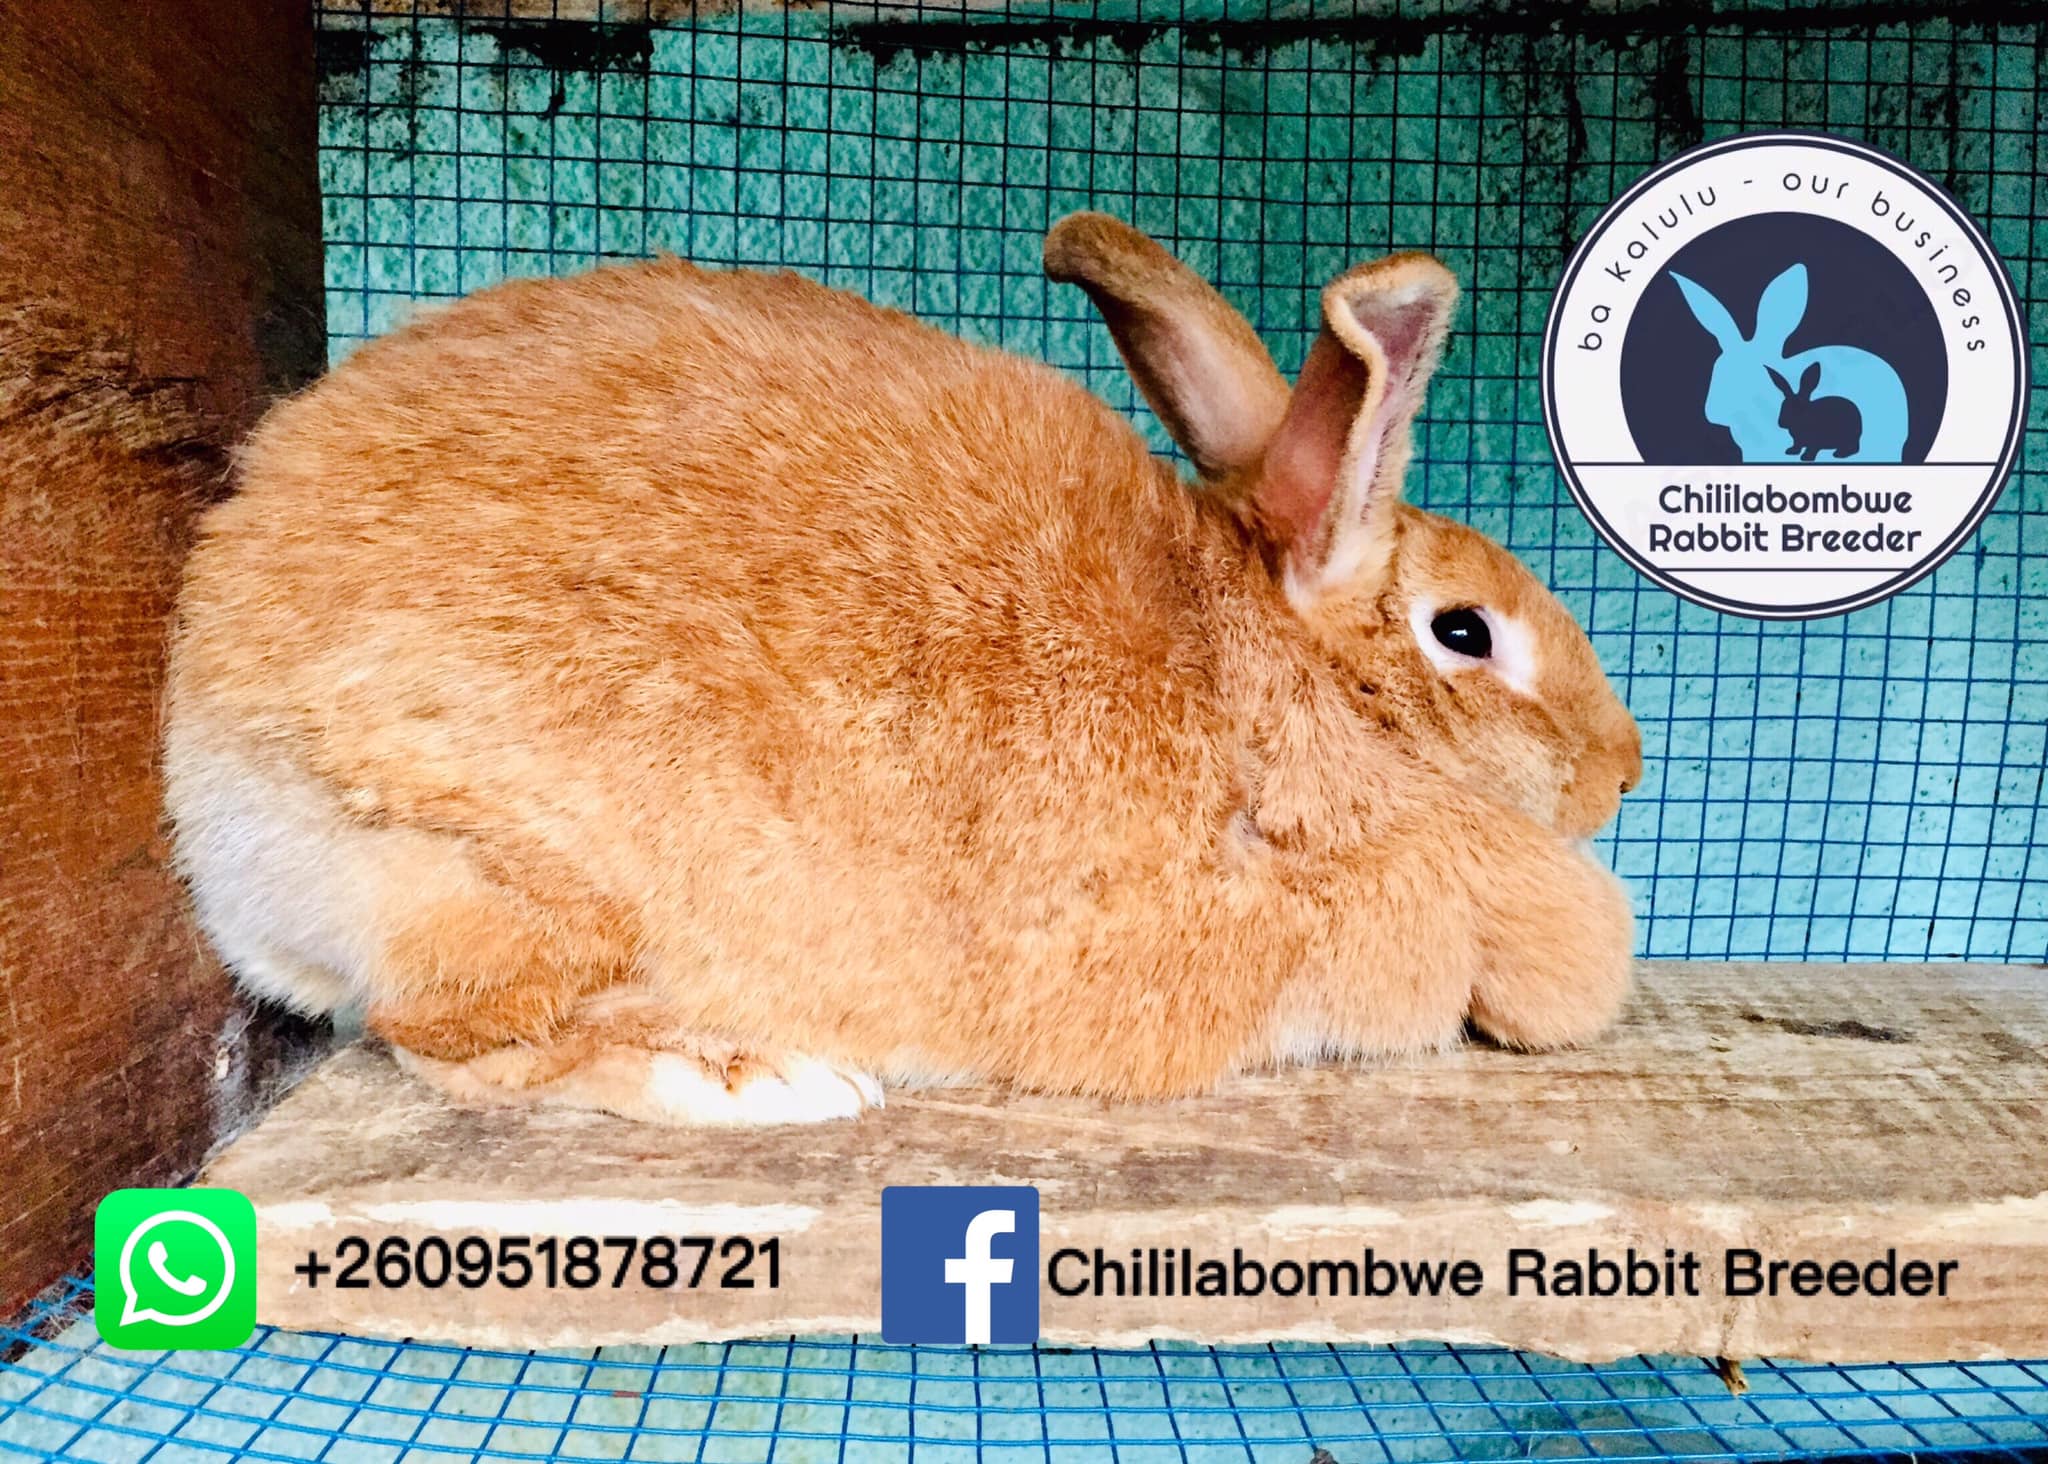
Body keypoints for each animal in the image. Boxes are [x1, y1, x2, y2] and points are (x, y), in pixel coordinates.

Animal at [161, 212, 1643, 1127]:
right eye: (1466, 633)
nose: (1623, 772)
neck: (1289, 683)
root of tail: (203, 786)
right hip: (510, 880)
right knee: (453, 1042)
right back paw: (750, 1080)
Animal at [1669, 264, 1906, 463]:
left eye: (1744, 374)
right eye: (1716, 370)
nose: (1712, 413)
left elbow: (1810, 446)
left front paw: (1805, 457)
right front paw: (1793, 451)